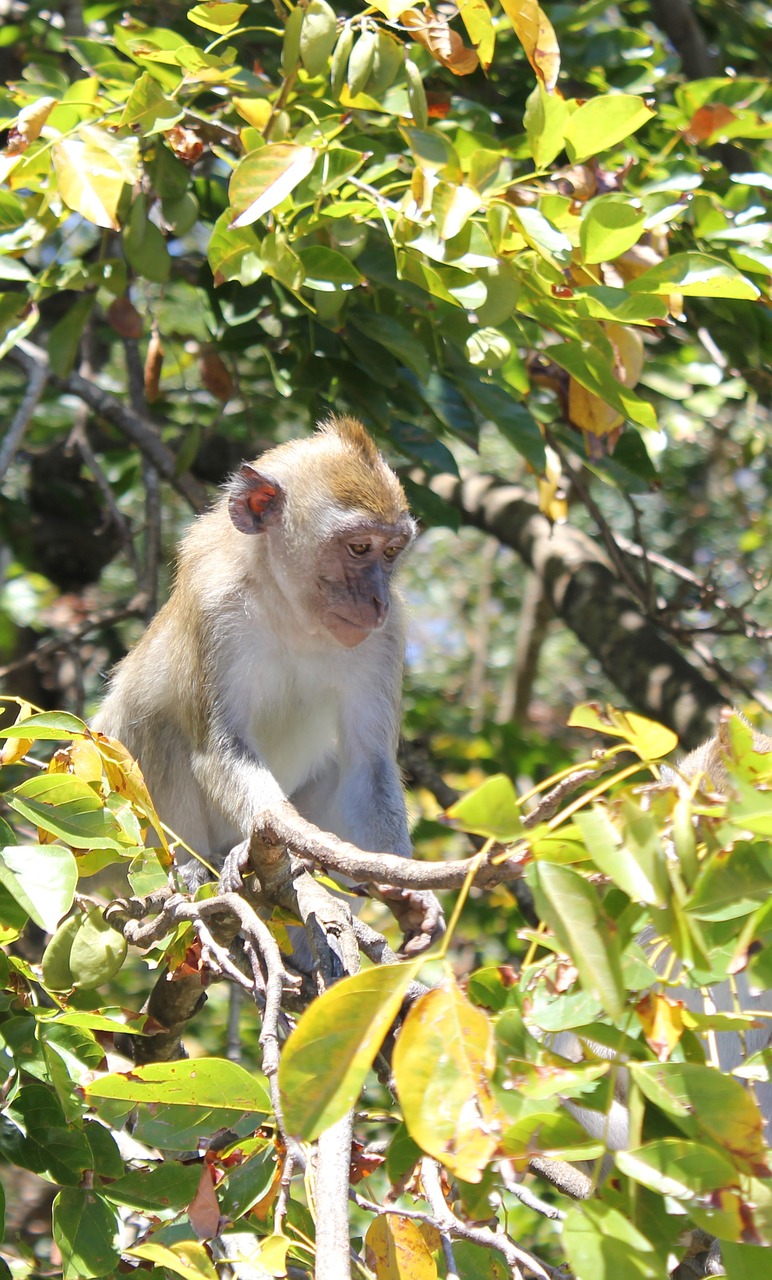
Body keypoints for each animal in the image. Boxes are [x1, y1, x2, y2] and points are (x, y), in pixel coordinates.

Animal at [93, 417, 440, 952]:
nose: (377, 600)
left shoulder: (385, 637)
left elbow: (368, 765)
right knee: (157, 727)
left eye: (391, 552)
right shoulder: (215, 607)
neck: (291, 610)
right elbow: (219, 746)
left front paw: (410, 892)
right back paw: (196, 868)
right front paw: (283, 836)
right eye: (359, 547)